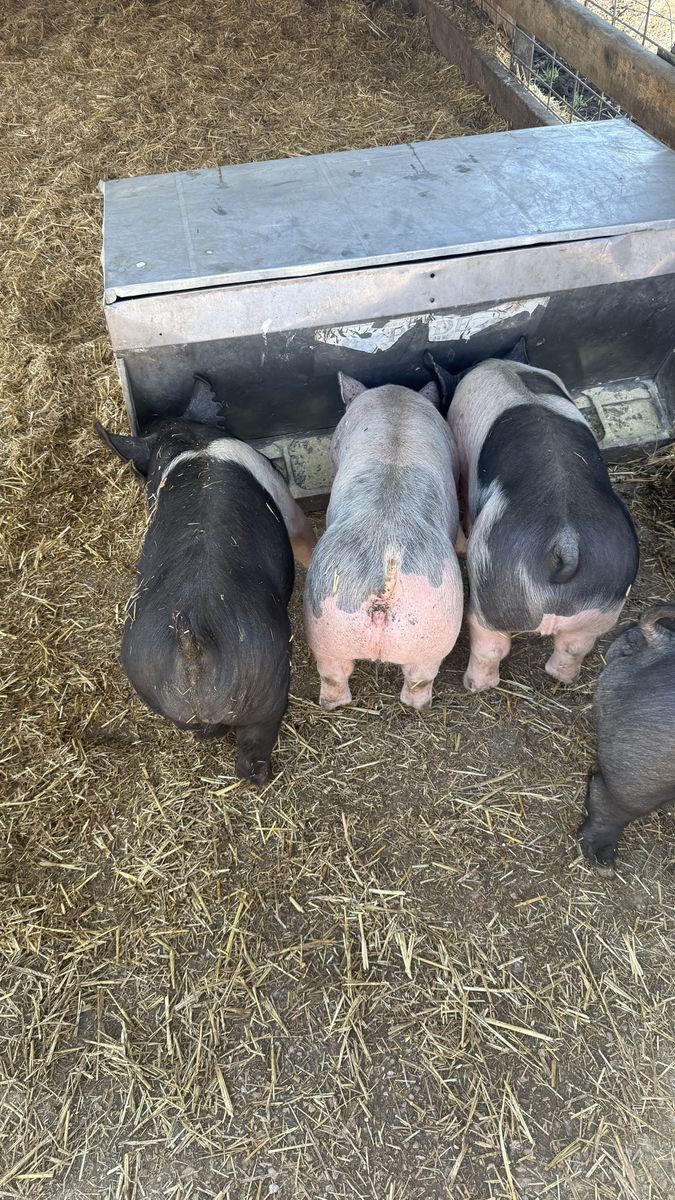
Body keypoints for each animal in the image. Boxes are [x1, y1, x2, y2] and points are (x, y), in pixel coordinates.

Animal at [95, 382, 316, 785]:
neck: (187, 442)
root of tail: (192, 644)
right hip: (265, 684)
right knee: (251, 753)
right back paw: (263, 776)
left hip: (154, 686)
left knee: (201, 730)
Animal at [436, 352, 639, 692]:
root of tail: (566, 540)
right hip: (602, 604)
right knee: (576, 645)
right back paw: (561, 677)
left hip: (495, 590)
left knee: (491, 643)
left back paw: (474, 685)